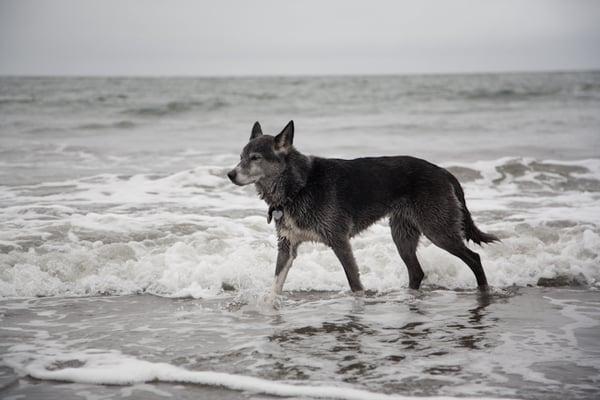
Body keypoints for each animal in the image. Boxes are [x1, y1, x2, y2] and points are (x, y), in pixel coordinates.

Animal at [227, 120, 500, 298]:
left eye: (255, 158)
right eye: (240, 157)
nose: (230, 174)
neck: (298, 186)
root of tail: (443, 172)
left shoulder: (339, 241)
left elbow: (355, 283)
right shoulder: (287, 247)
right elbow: (275, 285)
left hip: (438, 230)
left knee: (473, 258)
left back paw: (484, 291)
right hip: (402, 235)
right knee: (417, 272)